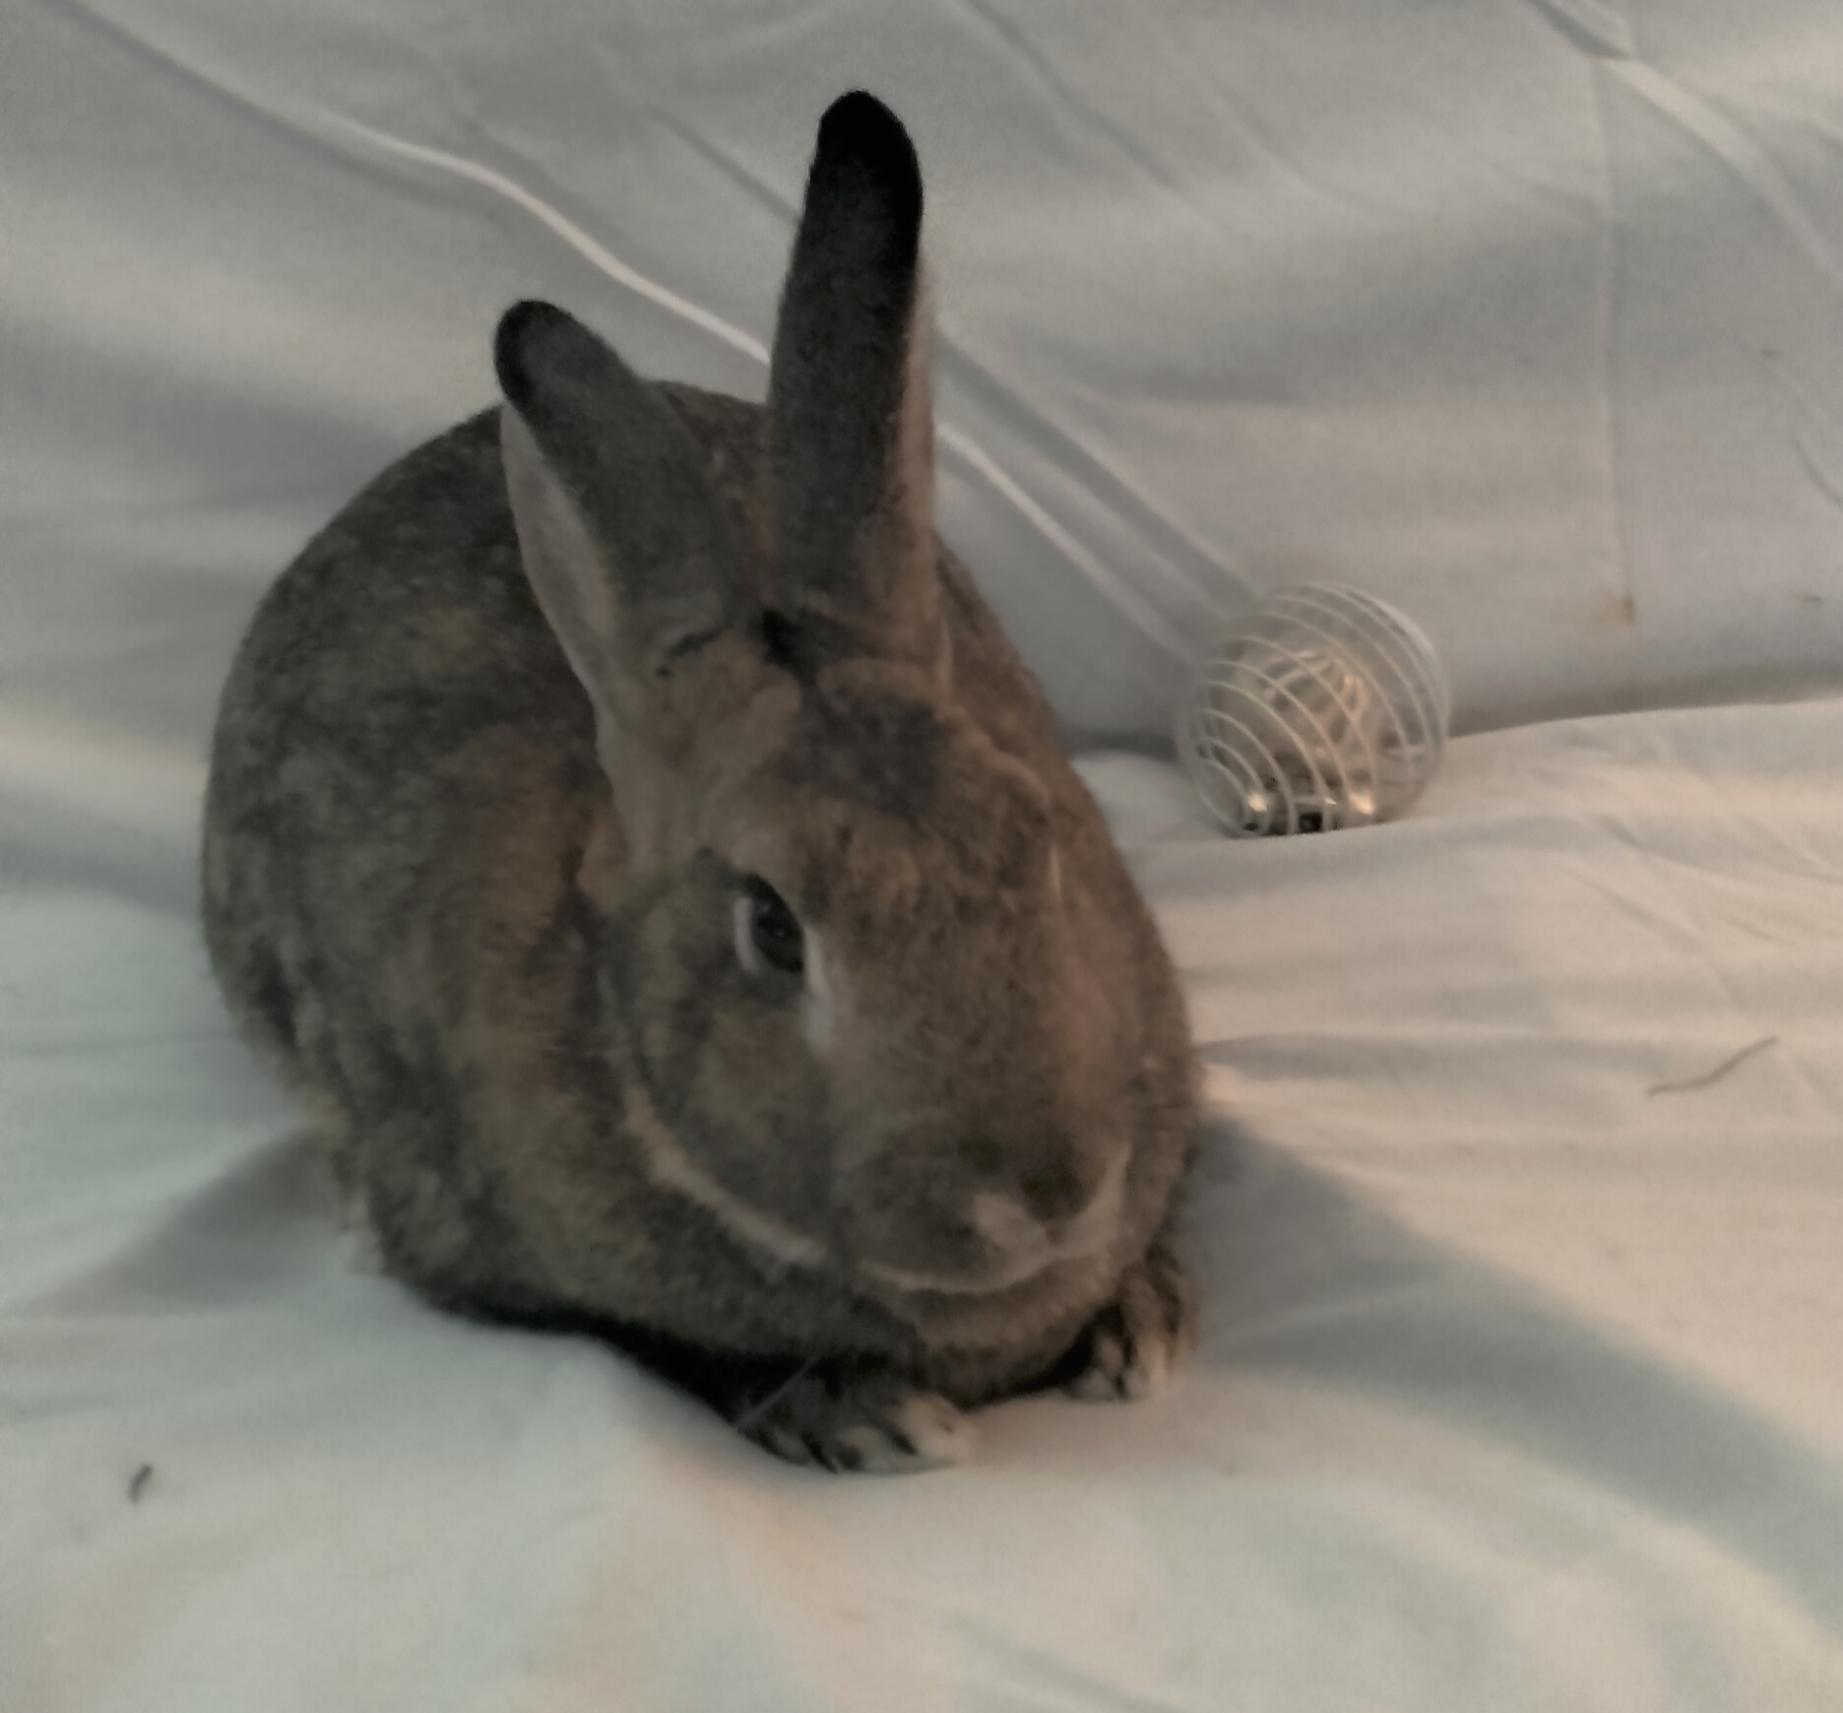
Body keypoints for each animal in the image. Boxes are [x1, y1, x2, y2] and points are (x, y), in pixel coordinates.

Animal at [201, 90, 1201, 1473]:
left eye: (1041, 840)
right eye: (773, 931)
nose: (1045, 1192)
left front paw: (1138, 1325)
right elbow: (680, 1352)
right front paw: (875, 1416)